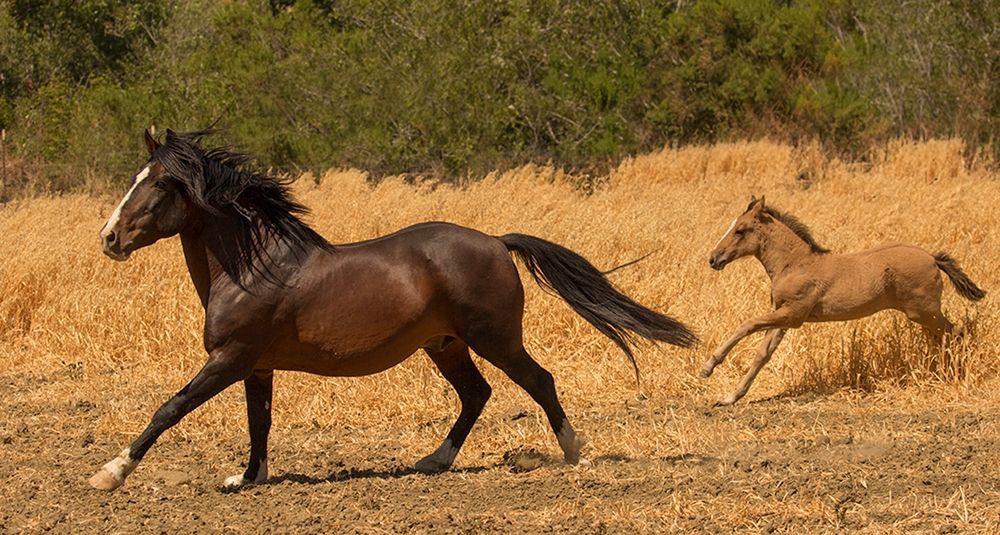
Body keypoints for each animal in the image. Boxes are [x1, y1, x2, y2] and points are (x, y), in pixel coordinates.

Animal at [90, 129, 696, 490]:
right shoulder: (255, 366)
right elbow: (259, 420)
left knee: (538, 381)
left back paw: (574, 453)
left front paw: (111, 473)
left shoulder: (231, 358)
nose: (109, 239)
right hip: (446, 345)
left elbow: (169, 408)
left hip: (493, 338)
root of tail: (497, 242)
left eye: (159, 185)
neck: (252, 268)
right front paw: (248, 478)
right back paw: (433, 461)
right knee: (477, 394)